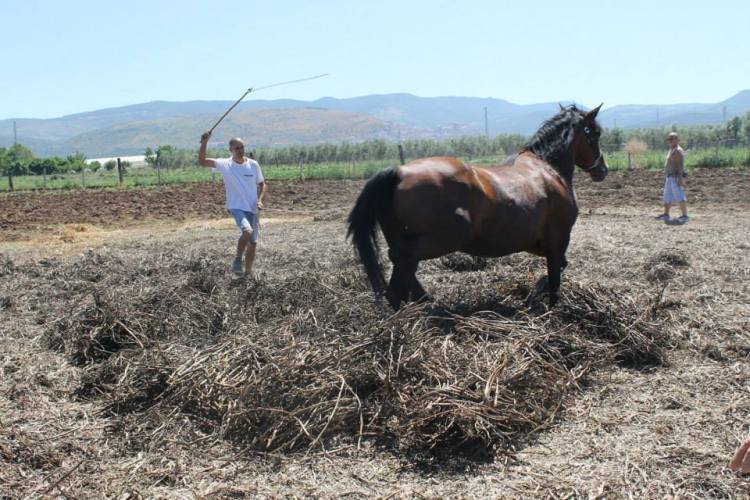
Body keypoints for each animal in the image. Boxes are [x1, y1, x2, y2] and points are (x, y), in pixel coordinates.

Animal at [347, 104, 608, 309]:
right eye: (595, 133)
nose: (602, 170)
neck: (547, 168)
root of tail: (399, 172)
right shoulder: (559, 238)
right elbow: (555, 275)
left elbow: (559, 267)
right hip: (446, 238)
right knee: (403, 259)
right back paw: (425, 303)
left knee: (401, 267)